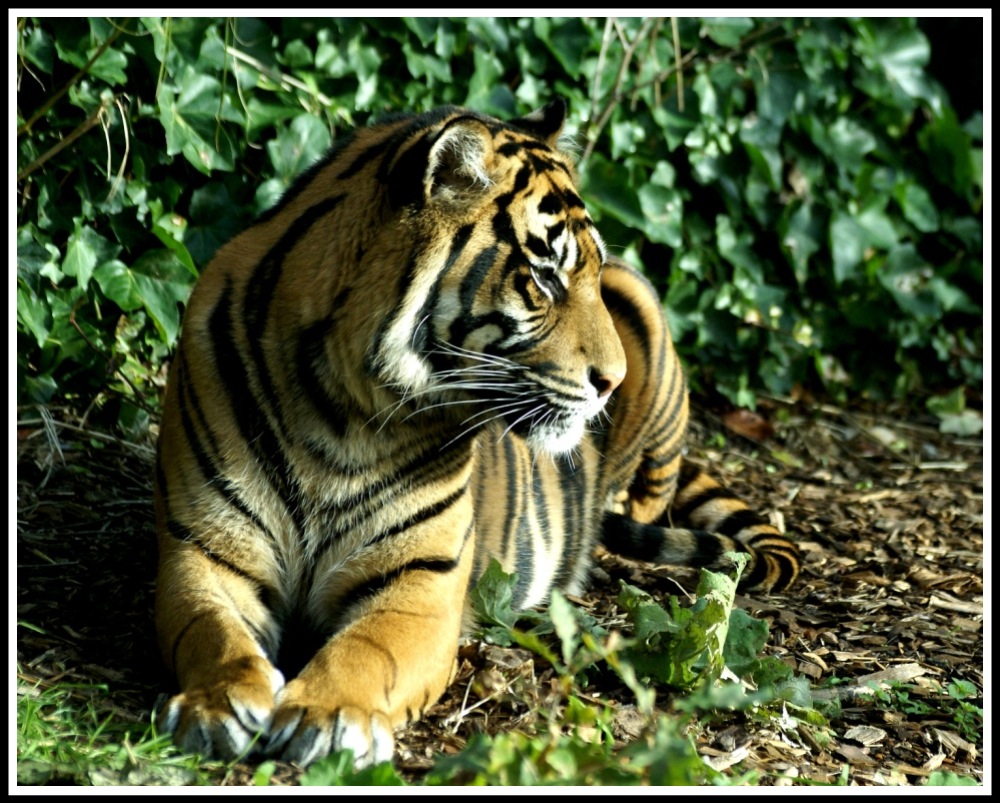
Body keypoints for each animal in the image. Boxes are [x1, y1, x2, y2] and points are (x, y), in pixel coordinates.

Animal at [153, 98, 799, 770]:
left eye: (588, 275)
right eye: (545, 277)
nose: (611, 381)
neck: (339, 408)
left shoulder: (421, 583)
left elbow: (367, 650)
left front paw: (328, 715)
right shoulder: (201, 551)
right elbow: (211, 631)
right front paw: (216, 705)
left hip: (645, 312)